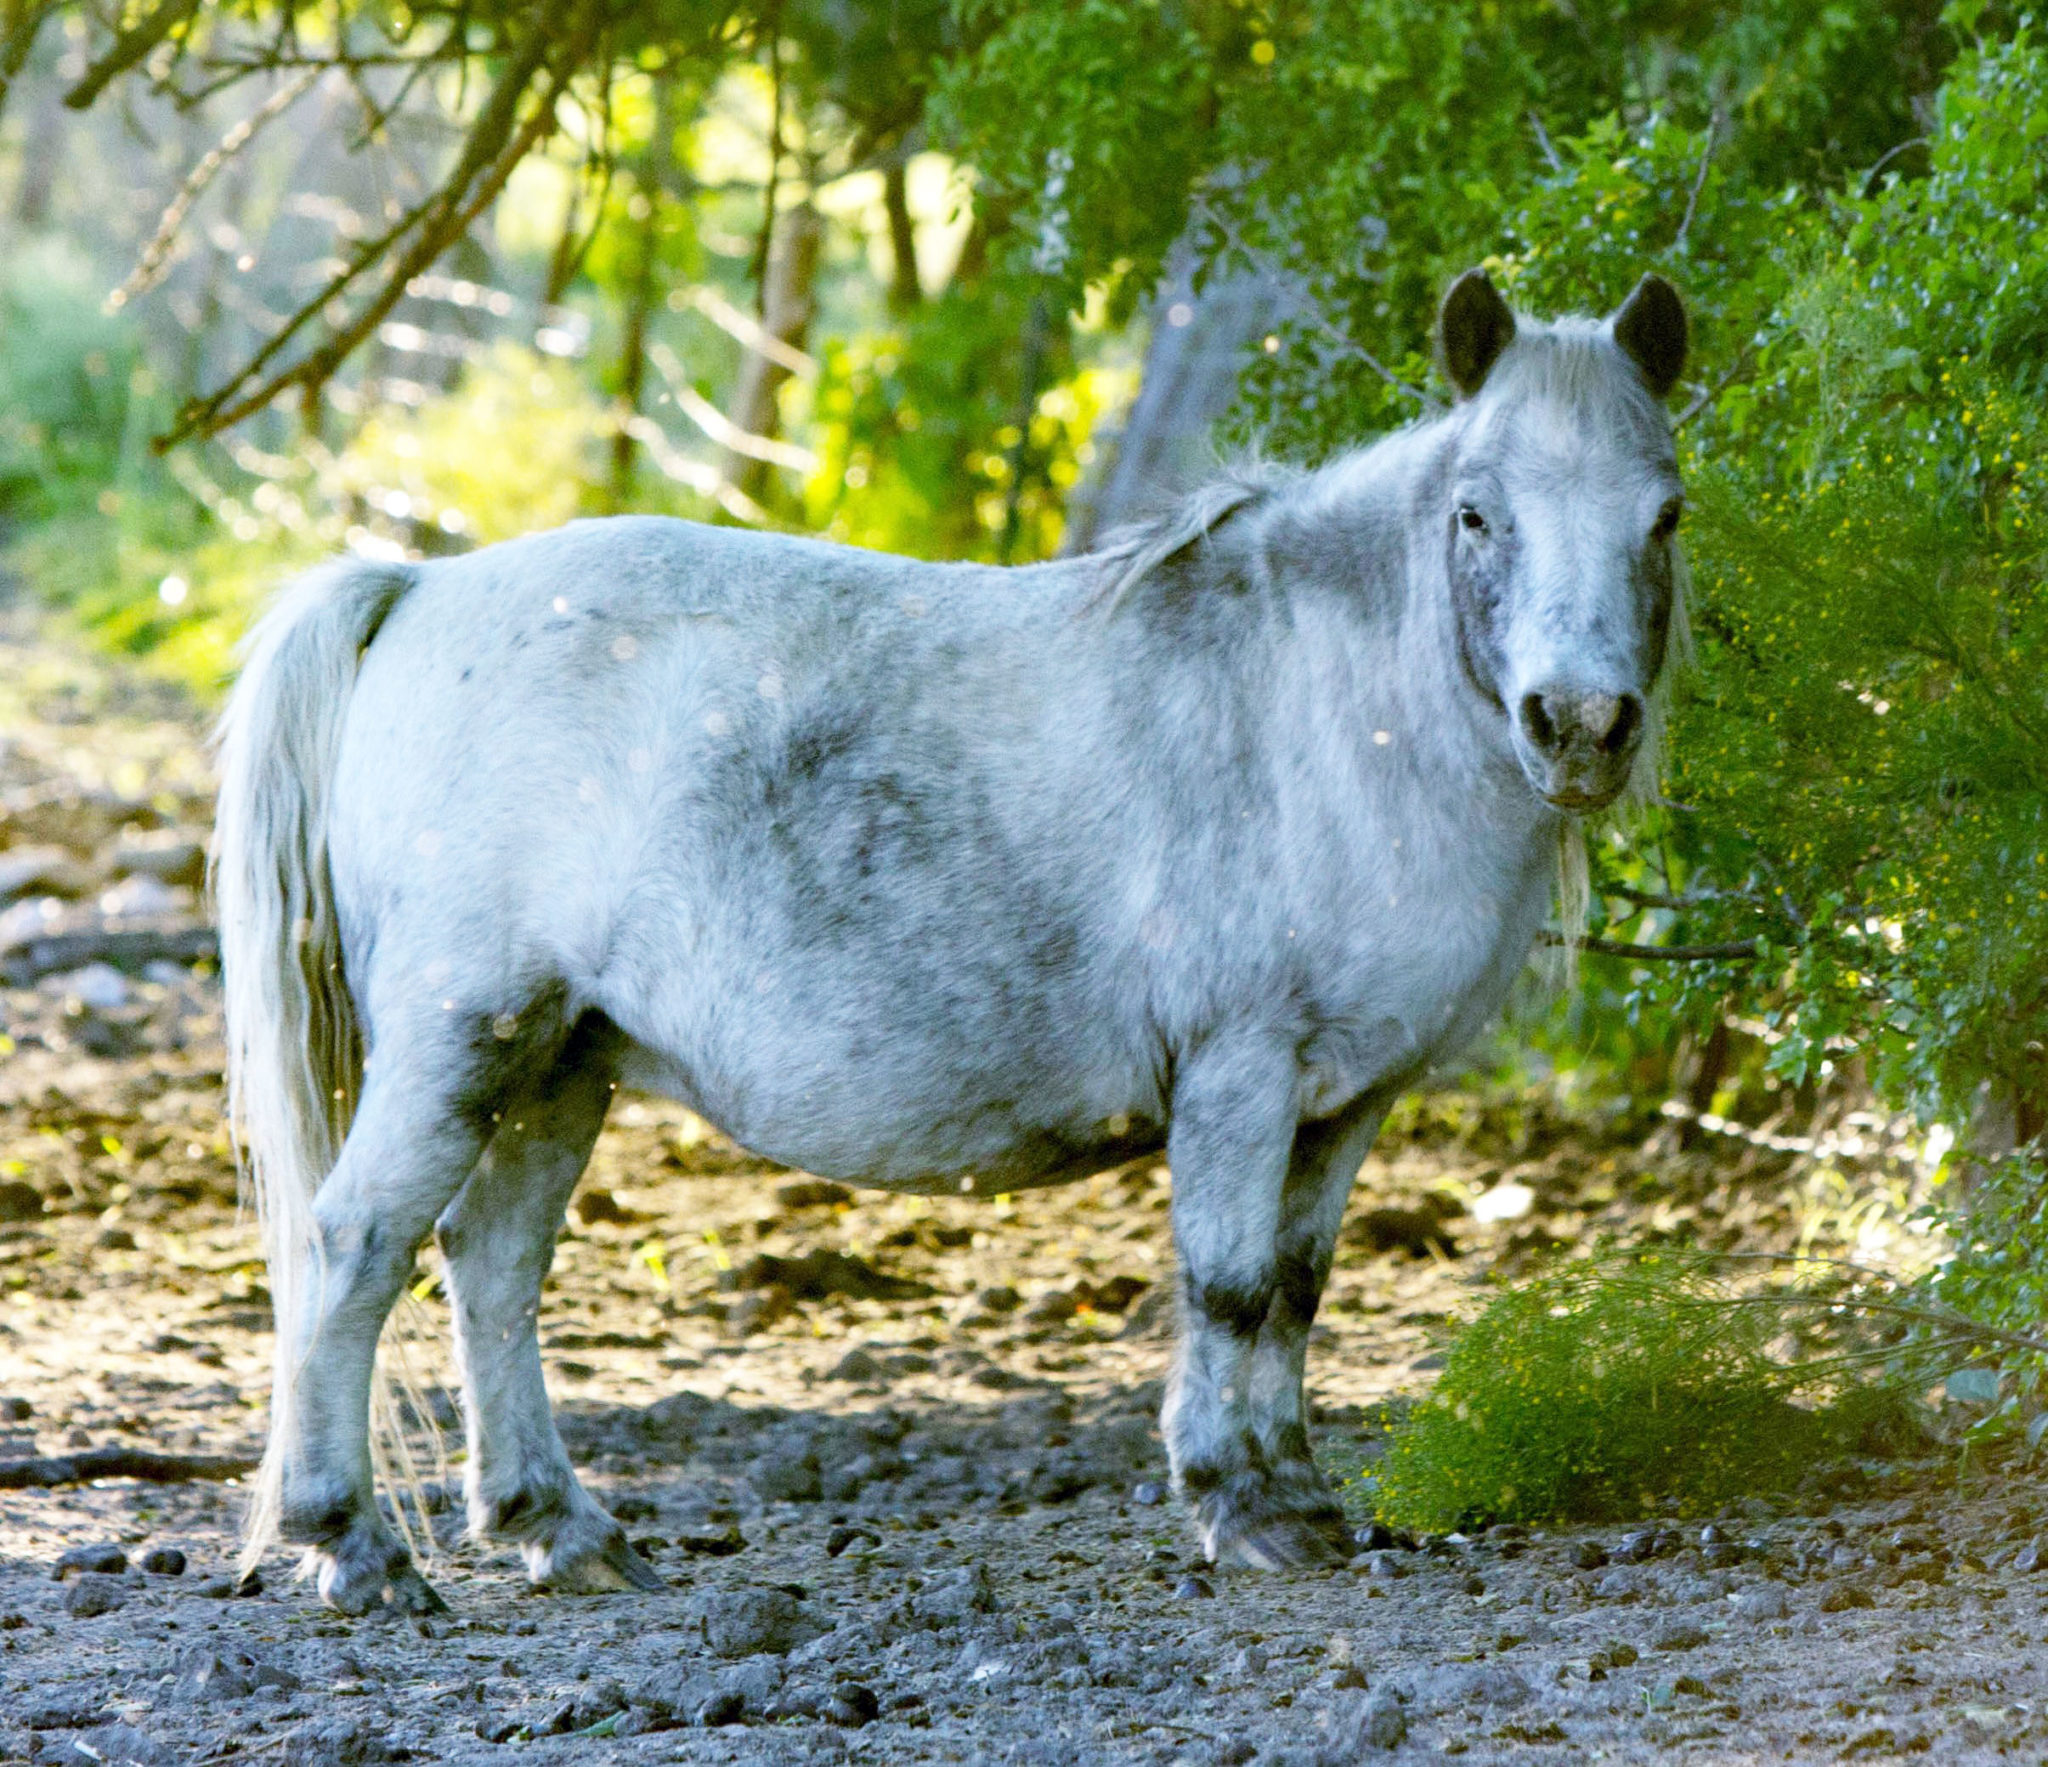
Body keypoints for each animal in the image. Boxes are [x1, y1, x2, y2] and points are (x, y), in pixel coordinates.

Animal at [212, 267, 1688, 1613]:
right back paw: (351, 1541)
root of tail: (418, 587)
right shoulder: (1243, 1071)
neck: (1328, 708)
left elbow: (1291, 1290)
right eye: (1476, 512)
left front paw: (1298, 1495)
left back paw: (556, 1526)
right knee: (355, 1248)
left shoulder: (1342, 1103)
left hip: (561, 1062)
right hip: (466, 1041)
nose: (1579, 725)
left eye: (1664, 513)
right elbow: (1224, 1287)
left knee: (493, 1266)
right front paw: (1237, 1504)